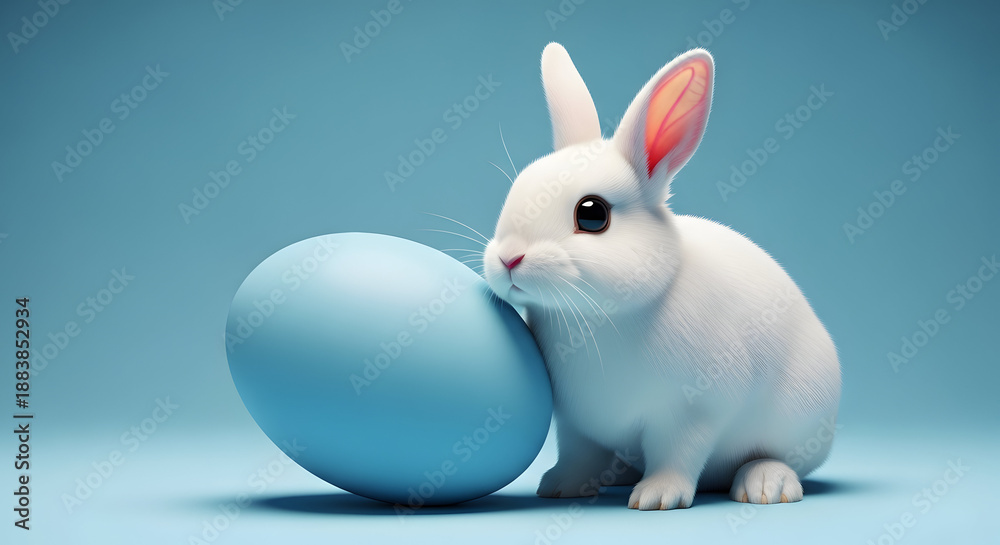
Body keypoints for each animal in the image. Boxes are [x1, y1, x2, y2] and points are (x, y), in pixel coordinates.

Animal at [481, 43, 841, 510]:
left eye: (592, 214)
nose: (508, 258)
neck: (601, 317)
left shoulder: (691, 413)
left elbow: (678, 454)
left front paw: (657, 496)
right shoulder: (577, 422)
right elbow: (578, 453)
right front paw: (559, 486)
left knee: (776, 458)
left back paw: (766, 485)